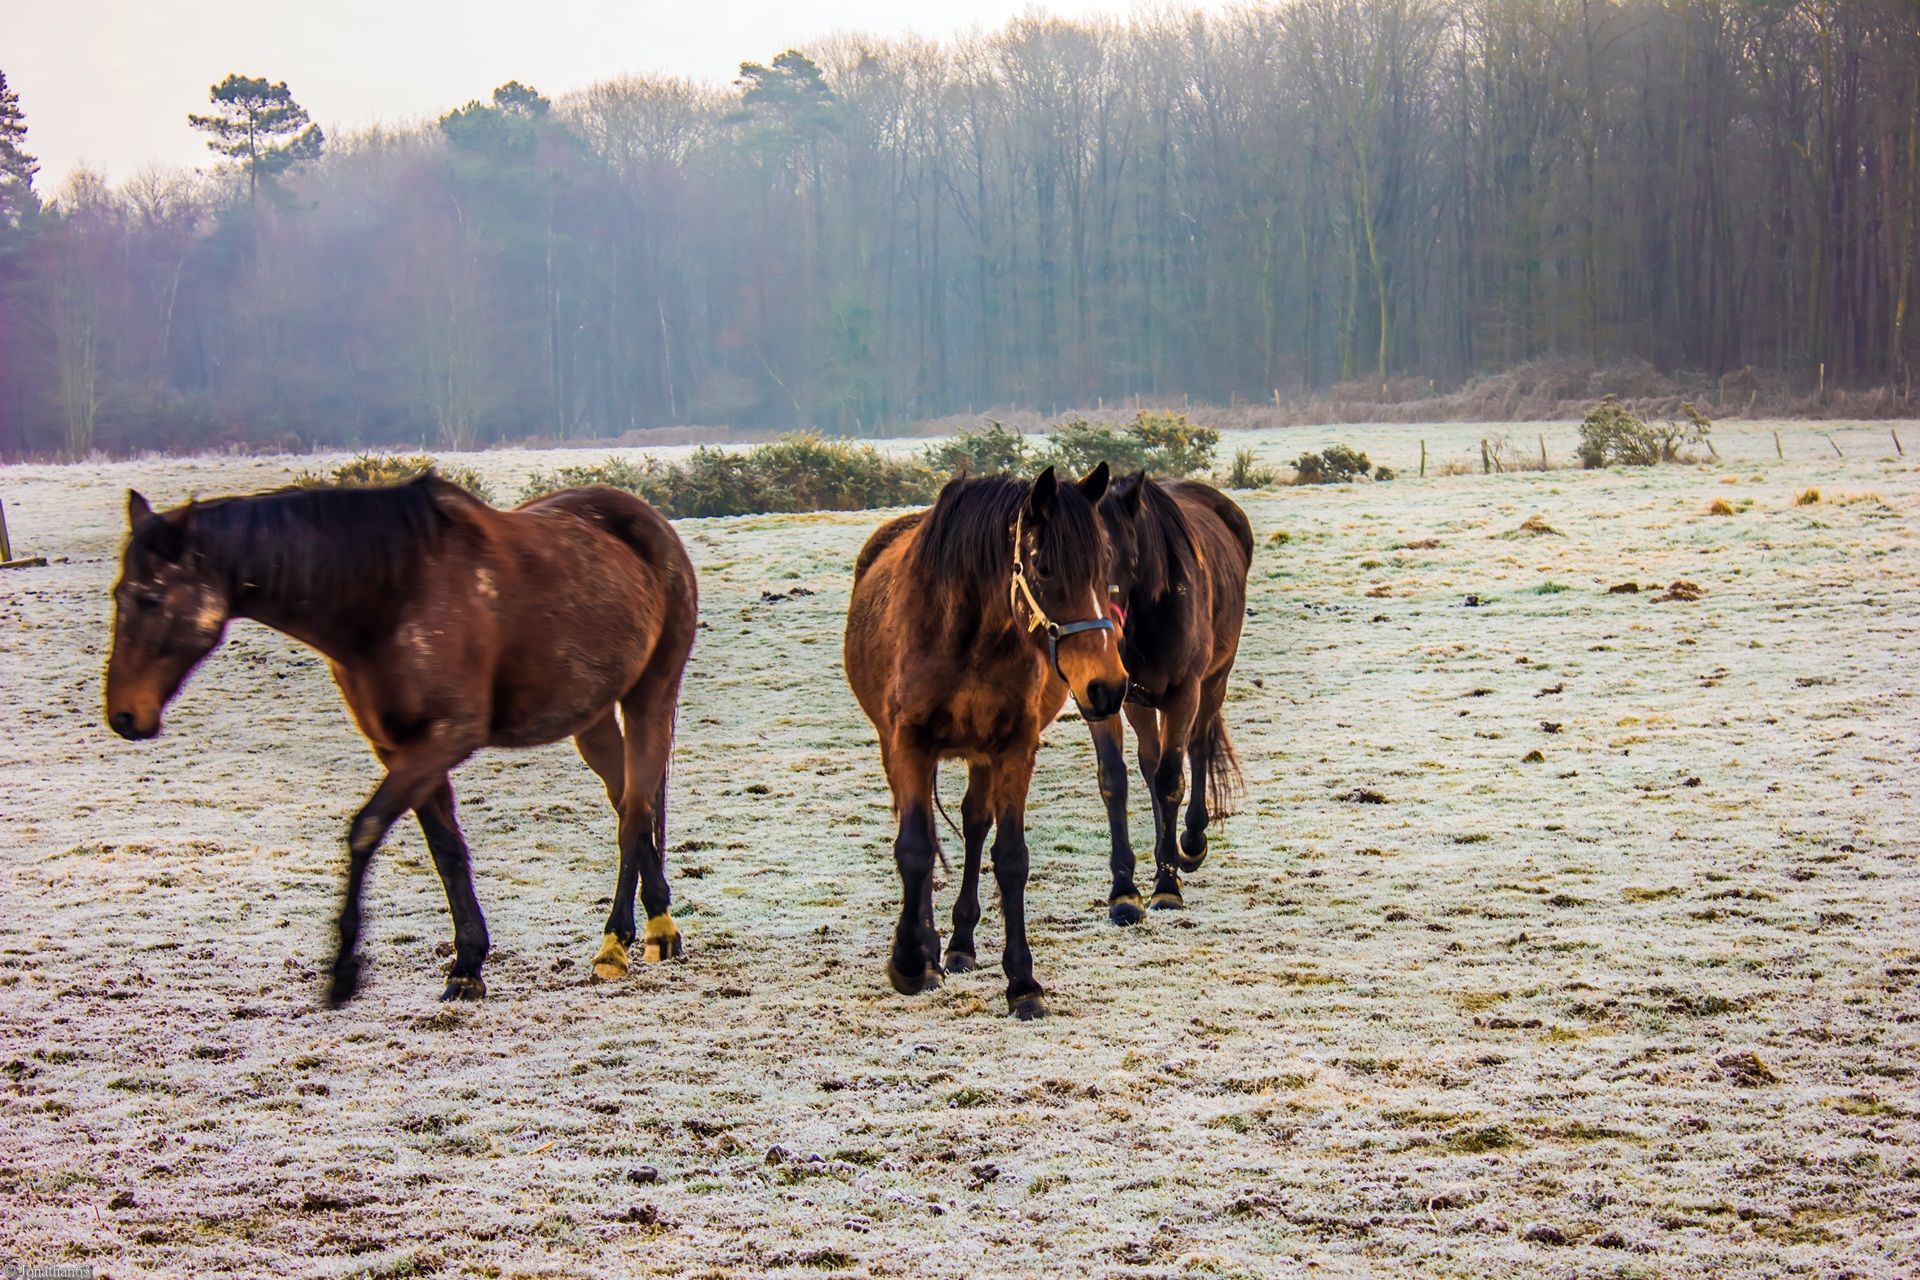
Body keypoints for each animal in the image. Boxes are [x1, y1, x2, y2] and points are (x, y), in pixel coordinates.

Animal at [103, 475, 698, 1005]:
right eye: (119, 595)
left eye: (150, 599)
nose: (125, 716)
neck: (392, 596)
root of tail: (650, 524)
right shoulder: (399, 746)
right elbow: (446, 850)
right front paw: (467, 966)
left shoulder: (446, 737)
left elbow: (366, 829)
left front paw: (344, 974)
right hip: (591, 716)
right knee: (629, 800)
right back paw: (658, 924)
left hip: (650, 692)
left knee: (634, 809)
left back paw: (618, 942)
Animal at [848, 466, 1128, 1013]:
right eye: (1043, 567)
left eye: (1104, 564)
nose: (1107, 686)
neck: (968, 639)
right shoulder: (909, 744)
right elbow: (915, 848)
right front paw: (911, 963)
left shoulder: (1014, 747)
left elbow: (1011, 857)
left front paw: (1023, 983)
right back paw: (930, 952)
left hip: (982, 753)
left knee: (975, 821)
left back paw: (959, 944)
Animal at [1090, 470, 1251, 921]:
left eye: (1109, 551)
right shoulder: (1107, 701)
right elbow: (1117, 781)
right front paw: (1124, 892)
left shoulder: (1184, 694)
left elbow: (1170, 780)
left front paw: (1166, 887)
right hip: (1139, 703)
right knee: (1151, 760)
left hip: (1213, 683)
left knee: (1197, 748)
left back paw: (1190, 844)